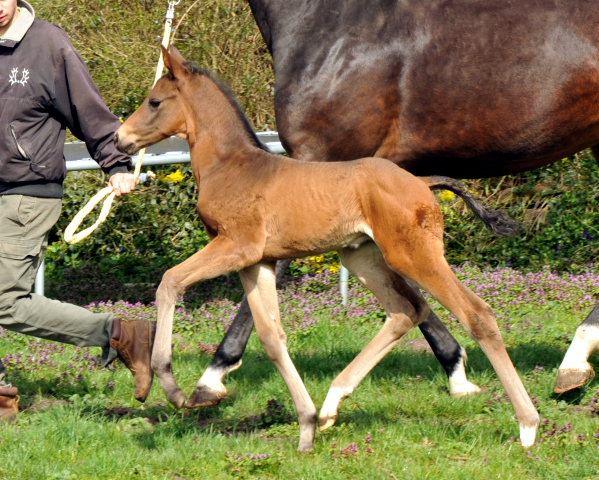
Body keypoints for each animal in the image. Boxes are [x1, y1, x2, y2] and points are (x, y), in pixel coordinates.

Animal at [115, 47, 540, 452]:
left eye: (154, 101)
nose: (120, 139)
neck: (232, 166)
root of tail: (423, 182)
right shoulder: (257, 262)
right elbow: (271, 337)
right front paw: (304, 427)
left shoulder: (235, 246)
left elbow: (170, 282)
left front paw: (169, 386)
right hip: (362, 256)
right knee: (405, 311)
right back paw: (331, 404)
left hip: (413, 255)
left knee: (476, 314)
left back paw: (527, 426)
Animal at [193, 0, 599, 404]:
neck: (328, 20)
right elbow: (408, 288)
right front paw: (455, 367)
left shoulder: (319, 161)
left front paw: (211, 377)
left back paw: (574, 360)